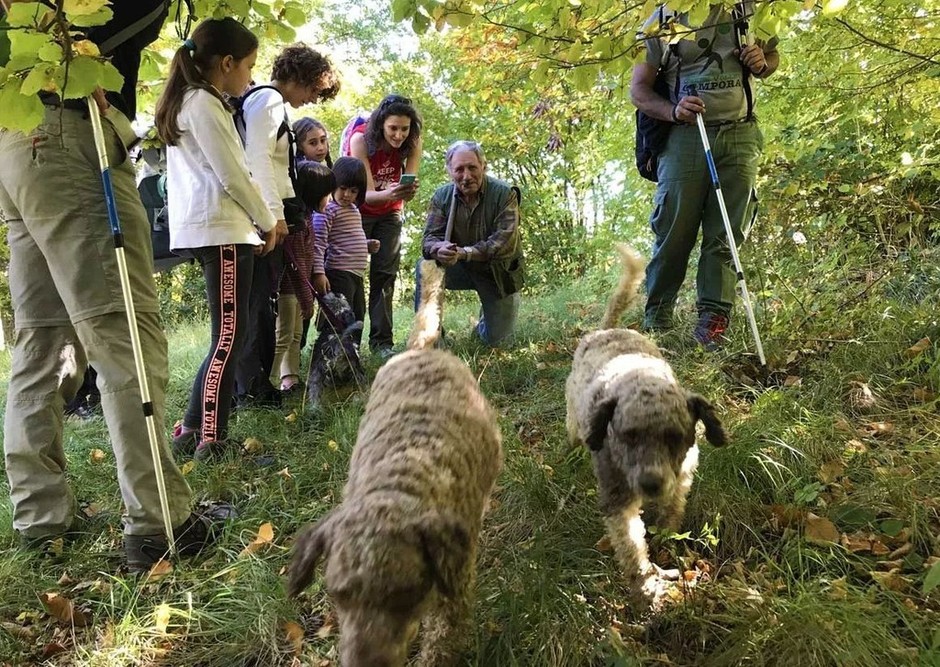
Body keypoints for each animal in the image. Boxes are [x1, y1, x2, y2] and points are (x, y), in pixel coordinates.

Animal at [564, 244, 728, 612]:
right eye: (627, 435)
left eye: (676, 437)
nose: (651, 484)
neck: (639, 377)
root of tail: (606, 330)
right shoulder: (618, 500)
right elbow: (631, 547)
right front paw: (646, 590)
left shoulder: (682, 475)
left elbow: (673, 509)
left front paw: (667, 536)